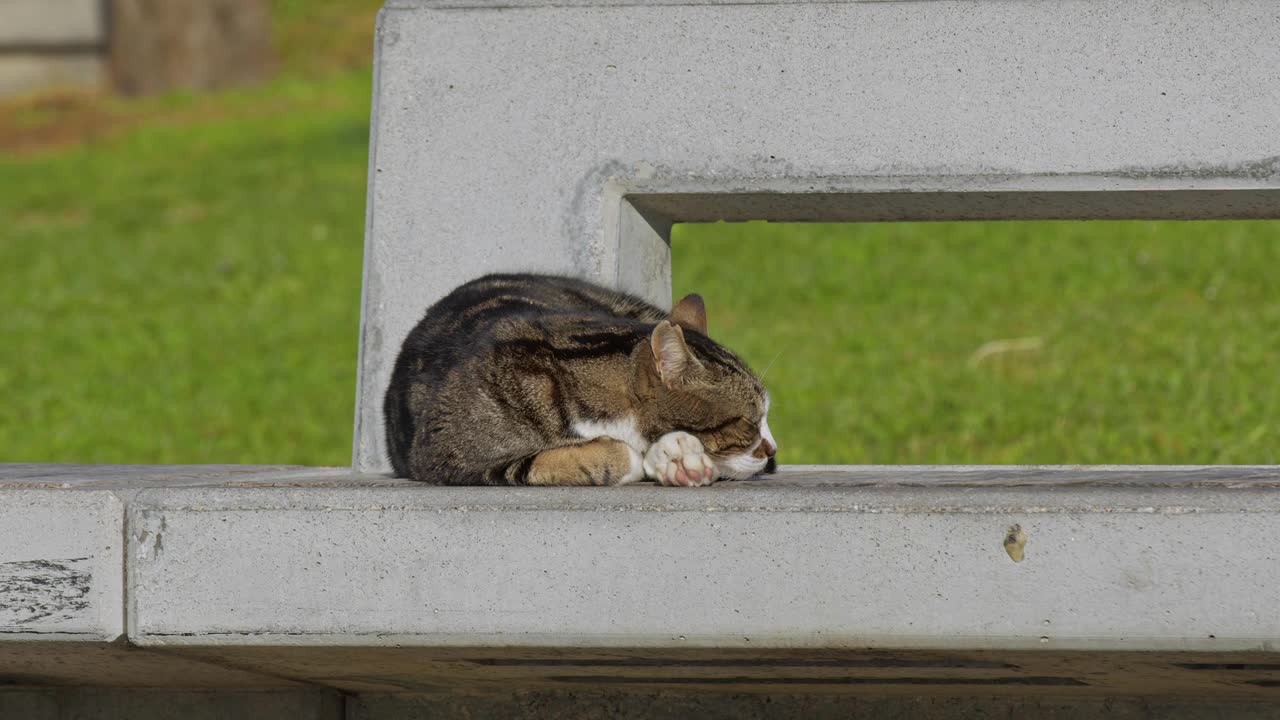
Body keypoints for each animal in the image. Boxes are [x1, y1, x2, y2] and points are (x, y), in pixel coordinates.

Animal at [384, 271, 773, 484]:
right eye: (748, 422)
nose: (773, 451)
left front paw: (676, 456)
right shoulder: (444, 452)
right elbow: (544, 459)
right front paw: (633, 456)